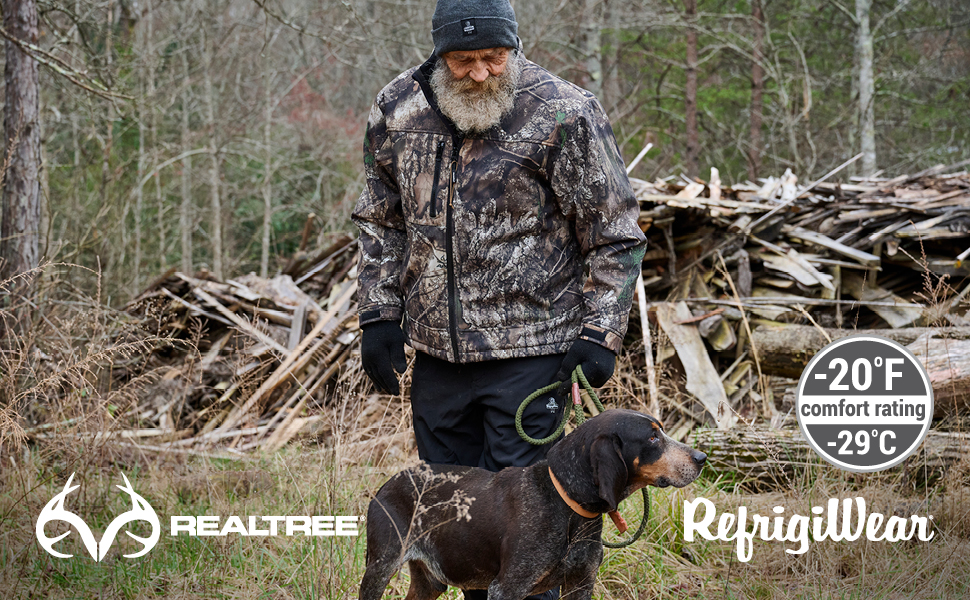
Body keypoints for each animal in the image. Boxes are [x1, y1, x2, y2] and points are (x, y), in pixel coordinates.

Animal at [358, 410, 704, 600]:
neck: (569, 507)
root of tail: (388, 483)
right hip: (380, 567)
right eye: (652, 439)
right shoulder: (506, 589)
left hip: (430, 583)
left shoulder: (581, 584)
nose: (701, 457)